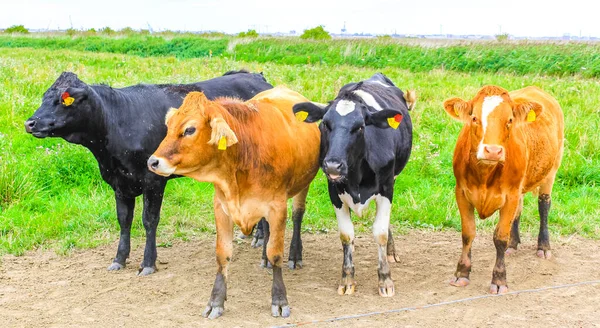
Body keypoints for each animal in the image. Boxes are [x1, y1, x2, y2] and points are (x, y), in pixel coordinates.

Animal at [24, 70, 274, 276]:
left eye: (63, 100)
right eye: (44, 97)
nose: (30, 123)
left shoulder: (153, 181)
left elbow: (149, 220)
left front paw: (148, 263)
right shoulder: (119, 184)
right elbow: (124, 220)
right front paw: (119, 259)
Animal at [148, 86, 322, 318]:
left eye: (189, 130)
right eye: (169, 126)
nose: (152, 162)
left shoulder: (277, 207)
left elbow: (276, 253)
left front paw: (279, 300)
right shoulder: (222, 207)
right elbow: (223, 255)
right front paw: (216, 301)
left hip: (303, 185)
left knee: (298, 216)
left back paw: (295, 255)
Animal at [292, 73, 414, 298]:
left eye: (359, 127)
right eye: (326, 124)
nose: (333, 164)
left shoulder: (386, 188)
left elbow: (380, 232)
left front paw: (385, 280)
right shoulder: (334, 192)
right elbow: (346, 235)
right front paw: (347, 279)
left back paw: (391, 251)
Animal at [442, 85, 564, 294]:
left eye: (510, 120)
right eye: (474, 118)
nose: (492, 151)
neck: (485, 173)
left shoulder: (510, 196)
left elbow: (500, 237)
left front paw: (499, 279)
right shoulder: (462, 193)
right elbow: (468, 233)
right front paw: (461, 273)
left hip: (551, 170)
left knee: (544, 206)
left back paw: (544, 246)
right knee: (519, 210)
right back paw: (513, 245)